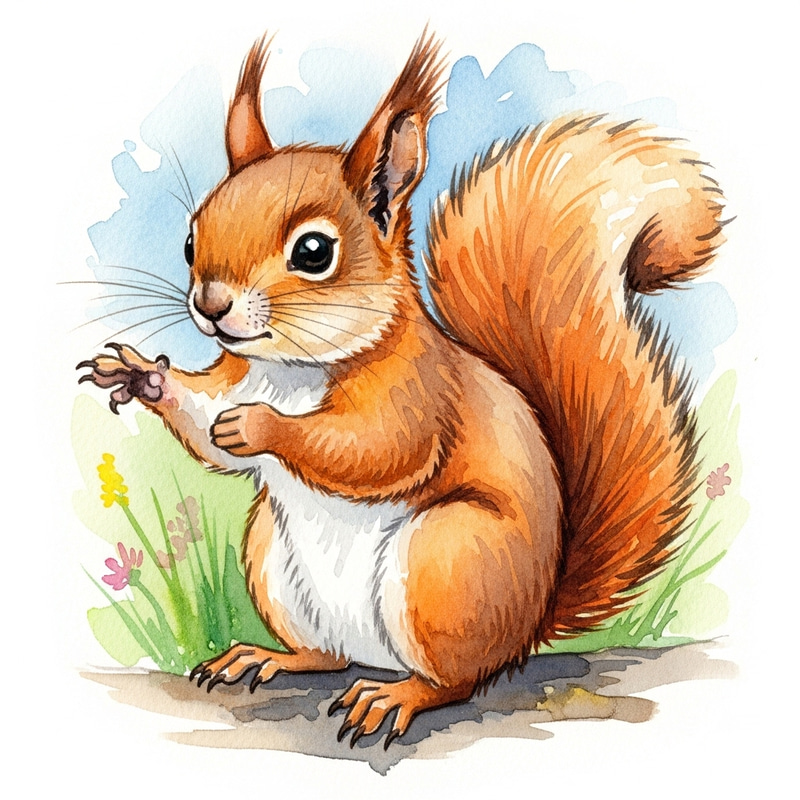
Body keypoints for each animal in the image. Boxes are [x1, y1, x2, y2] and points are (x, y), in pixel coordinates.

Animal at [79, 32, 725, 746]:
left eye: (313, 252)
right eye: (191, 239)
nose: (210, 305)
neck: (291, 370)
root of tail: (528, 630)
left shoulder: (417, 392)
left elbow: (377, 450)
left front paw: (261, 426)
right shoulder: (234, 378)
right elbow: (206, 428)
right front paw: (141, 375)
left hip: (448, 564)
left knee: (456, 680)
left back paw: (396, 697)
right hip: (273, 560)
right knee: (326, 655)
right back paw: (265, 658)